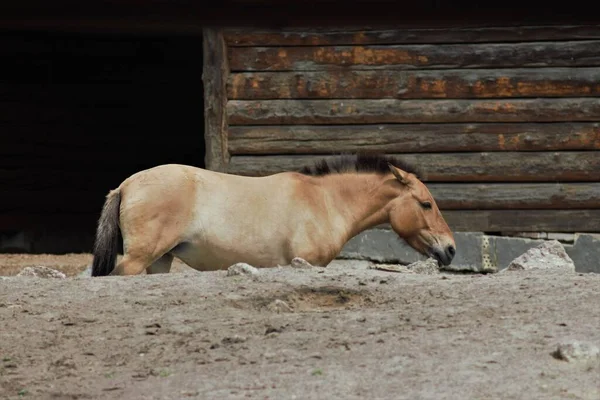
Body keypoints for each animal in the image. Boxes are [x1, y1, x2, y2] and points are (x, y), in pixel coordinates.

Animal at [90, 154, 454, 278]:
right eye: (426, 204)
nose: (450, 249)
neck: (325, 201)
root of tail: (125, 185)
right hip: (138, 259)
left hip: (160, 260)